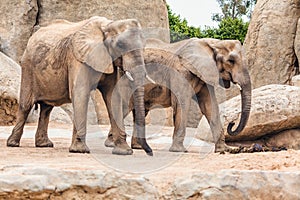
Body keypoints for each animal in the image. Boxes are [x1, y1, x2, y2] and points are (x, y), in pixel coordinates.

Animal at [6, 16, 152, 155]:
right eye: (120, 45)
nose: (149, 151)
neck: (107, 25)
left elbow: (112, 97)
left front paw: (124, 151)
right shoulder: (77, 58)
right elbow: (80, 94)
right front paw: (80, 150)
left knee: (47, 108)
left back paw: (44, 144)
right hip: (28, 67)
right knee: (26, 105)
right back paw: (13, 143)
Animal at [104, 38, 252, 153]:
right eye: (231, 61)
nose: (232, 123)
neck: (213, 43)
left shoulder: (205, 74)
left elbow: (210, 107)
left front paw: (225, 150)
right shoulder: (181, 72)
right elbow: (182, 104)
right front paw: (179, 151)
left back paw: (137, 147)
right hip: (126, 79)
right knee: (124, 106)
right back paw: (112, 144)